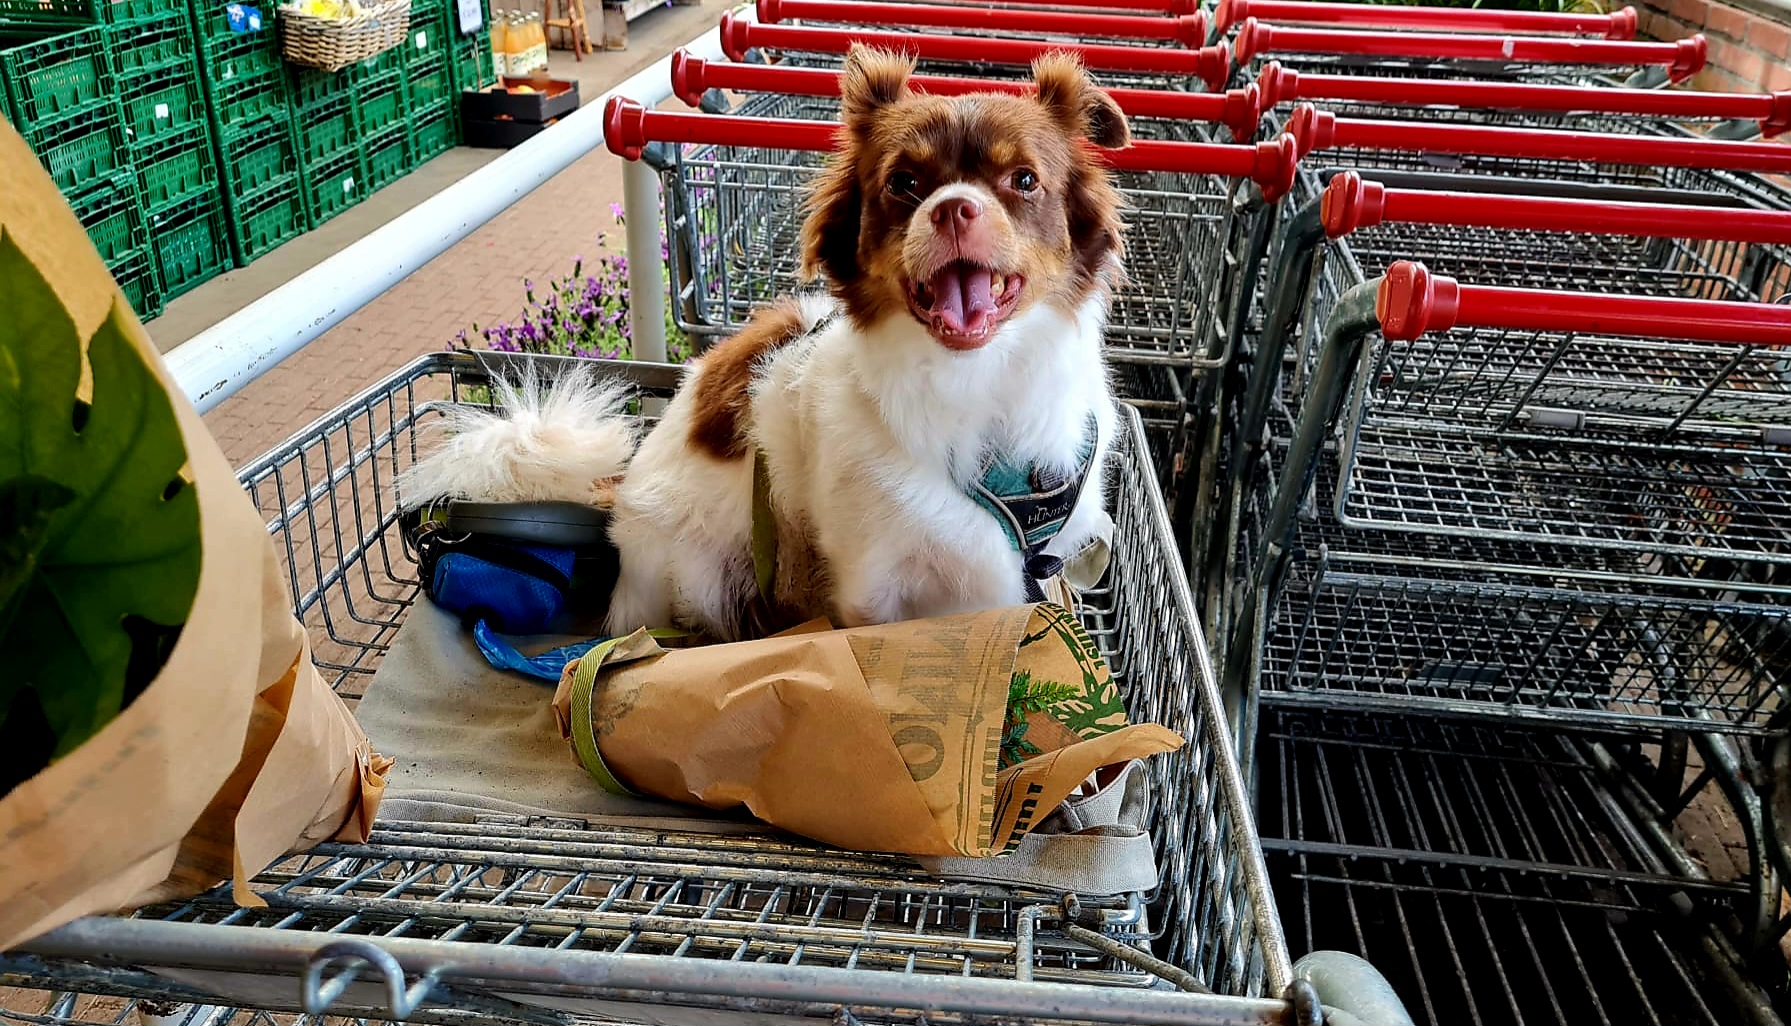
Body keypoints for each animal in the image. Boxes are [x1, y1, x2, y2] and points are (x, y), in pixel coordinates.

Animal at [408, 49, 1131, 641]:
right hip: (699, 570)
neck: (977, 383)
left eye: (1024, 180)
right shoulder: (871, 590)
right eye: (903, 184)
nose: (955, 208)